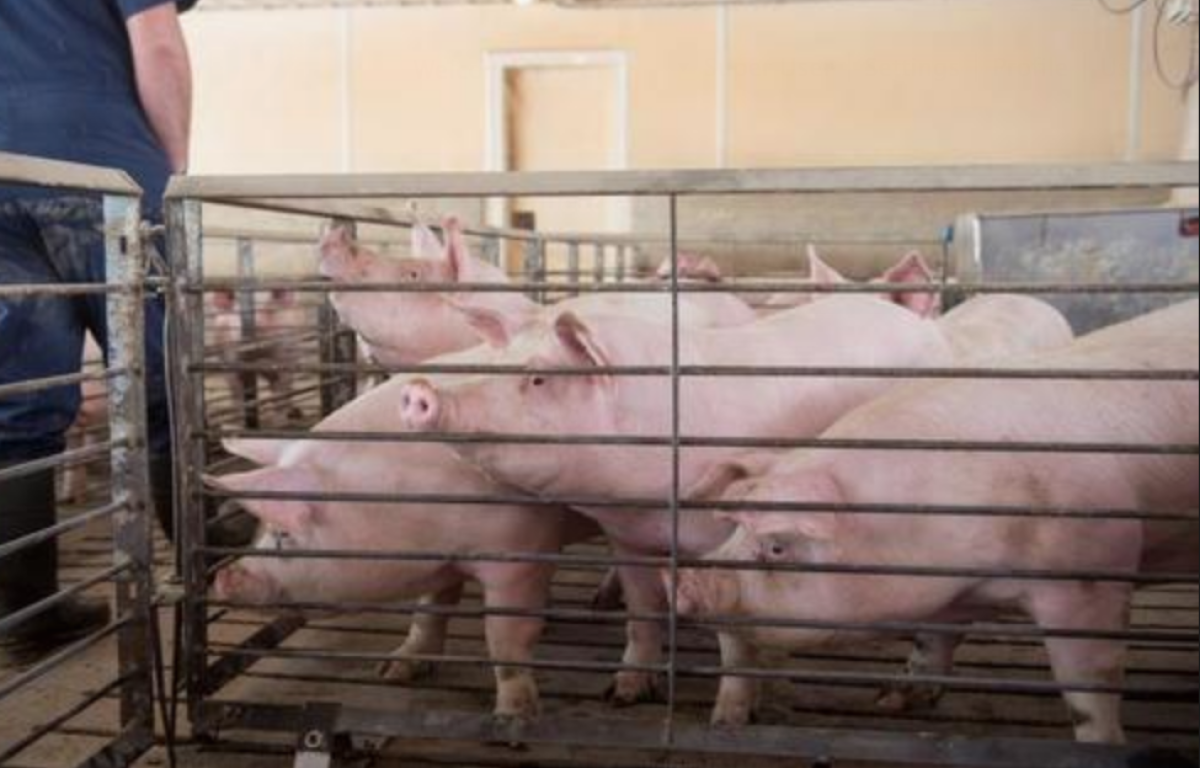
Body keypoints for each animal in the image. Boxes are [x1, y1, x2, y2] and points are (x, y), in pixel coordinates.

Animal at [211, 374, 600, 724]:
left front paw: (513, 718)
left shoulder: (523, 553)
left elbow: (505, 637)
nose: (223, 577)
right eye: (259, 528)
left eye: (283, 534)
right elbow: (429, 610)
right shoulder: (444, 562)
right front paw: (391, 670)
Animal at [676, 297, 1200, 739]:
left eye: (777, 546)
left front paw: (1101, 744)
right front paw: (890, 700)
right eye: (735, 529)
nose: (687, 579)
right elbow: (934, 638)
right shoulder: (943, 587)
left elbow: (1090, 685)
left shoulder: (1092, 576)